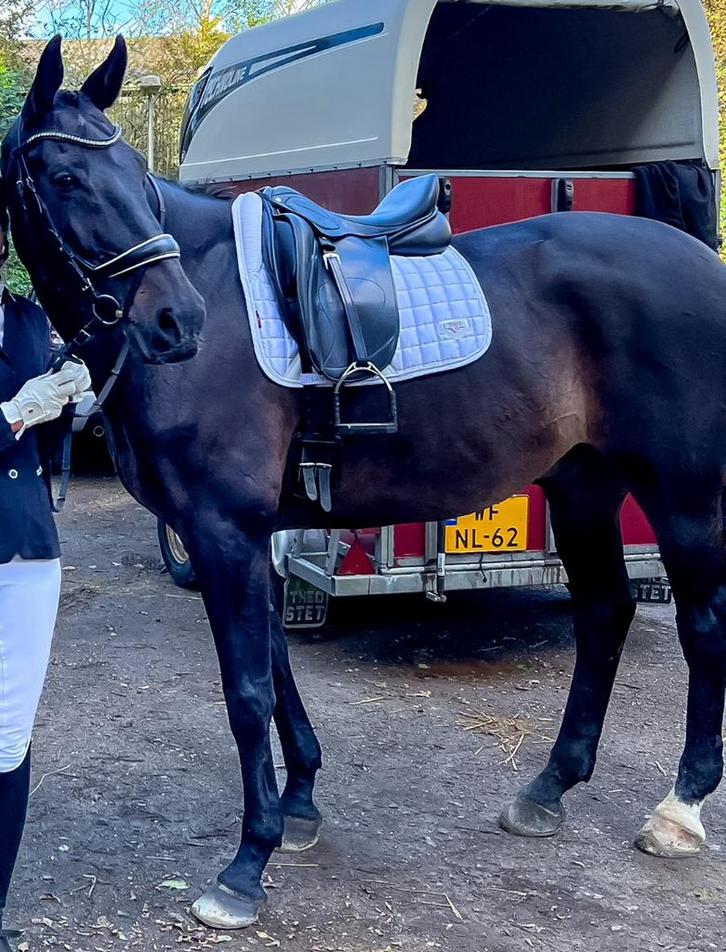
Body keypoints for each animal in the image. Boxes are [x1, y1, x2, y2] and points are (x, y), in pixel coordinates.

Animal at [4, 35, 726, 930]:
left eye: (136, 175)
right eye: (65, 177)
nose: (178, 321)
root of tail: (702, 262)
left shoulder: (222, 530)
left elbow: (246, 689)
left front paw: (246, 866)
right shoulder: (243, 535)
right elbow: (276, 669)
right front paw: (301, 806)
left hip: (681, 495)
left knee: (702, 629)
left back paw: (680, 808)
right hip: (583, 485)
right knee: (604, 613)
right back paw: (549, 789)